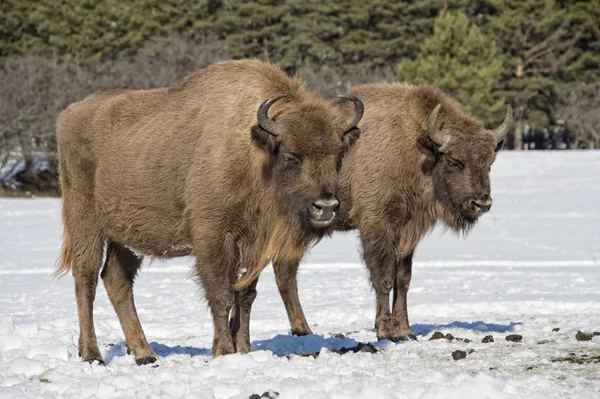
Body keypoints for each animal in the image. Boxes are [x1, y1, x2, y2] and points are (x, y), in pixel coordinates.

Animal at [54, 60, 364, 366]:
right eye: (291, 155)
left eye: (338, 154)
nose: (326, 206)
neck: (254, 152)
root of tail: (67, 115)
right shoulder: (214, 236)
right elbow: (221, 294)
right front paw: (223, 351)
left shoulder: (252, 244)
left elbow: (245, 294)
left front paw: (244, 350)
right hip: (85, 221)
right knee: (86, 279)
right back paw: (92, 354)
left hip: (127, 238)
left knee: (116, 281)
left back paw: (145, 354)